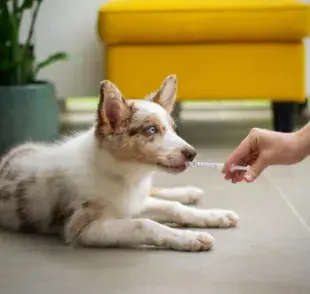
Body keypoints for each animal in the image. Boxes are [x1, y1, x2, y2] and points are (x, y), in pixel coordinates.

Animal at [0, 75, 239, 250]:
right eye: (151, 130)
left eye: (173, 128)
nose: (192, 154)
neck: (126, 175)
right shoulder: (83, 228)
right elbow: (144, 224)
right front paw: (190, 238)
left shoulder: (132, 202)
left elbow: (172, 207)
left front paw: (213, 216)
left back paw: (189, 192)